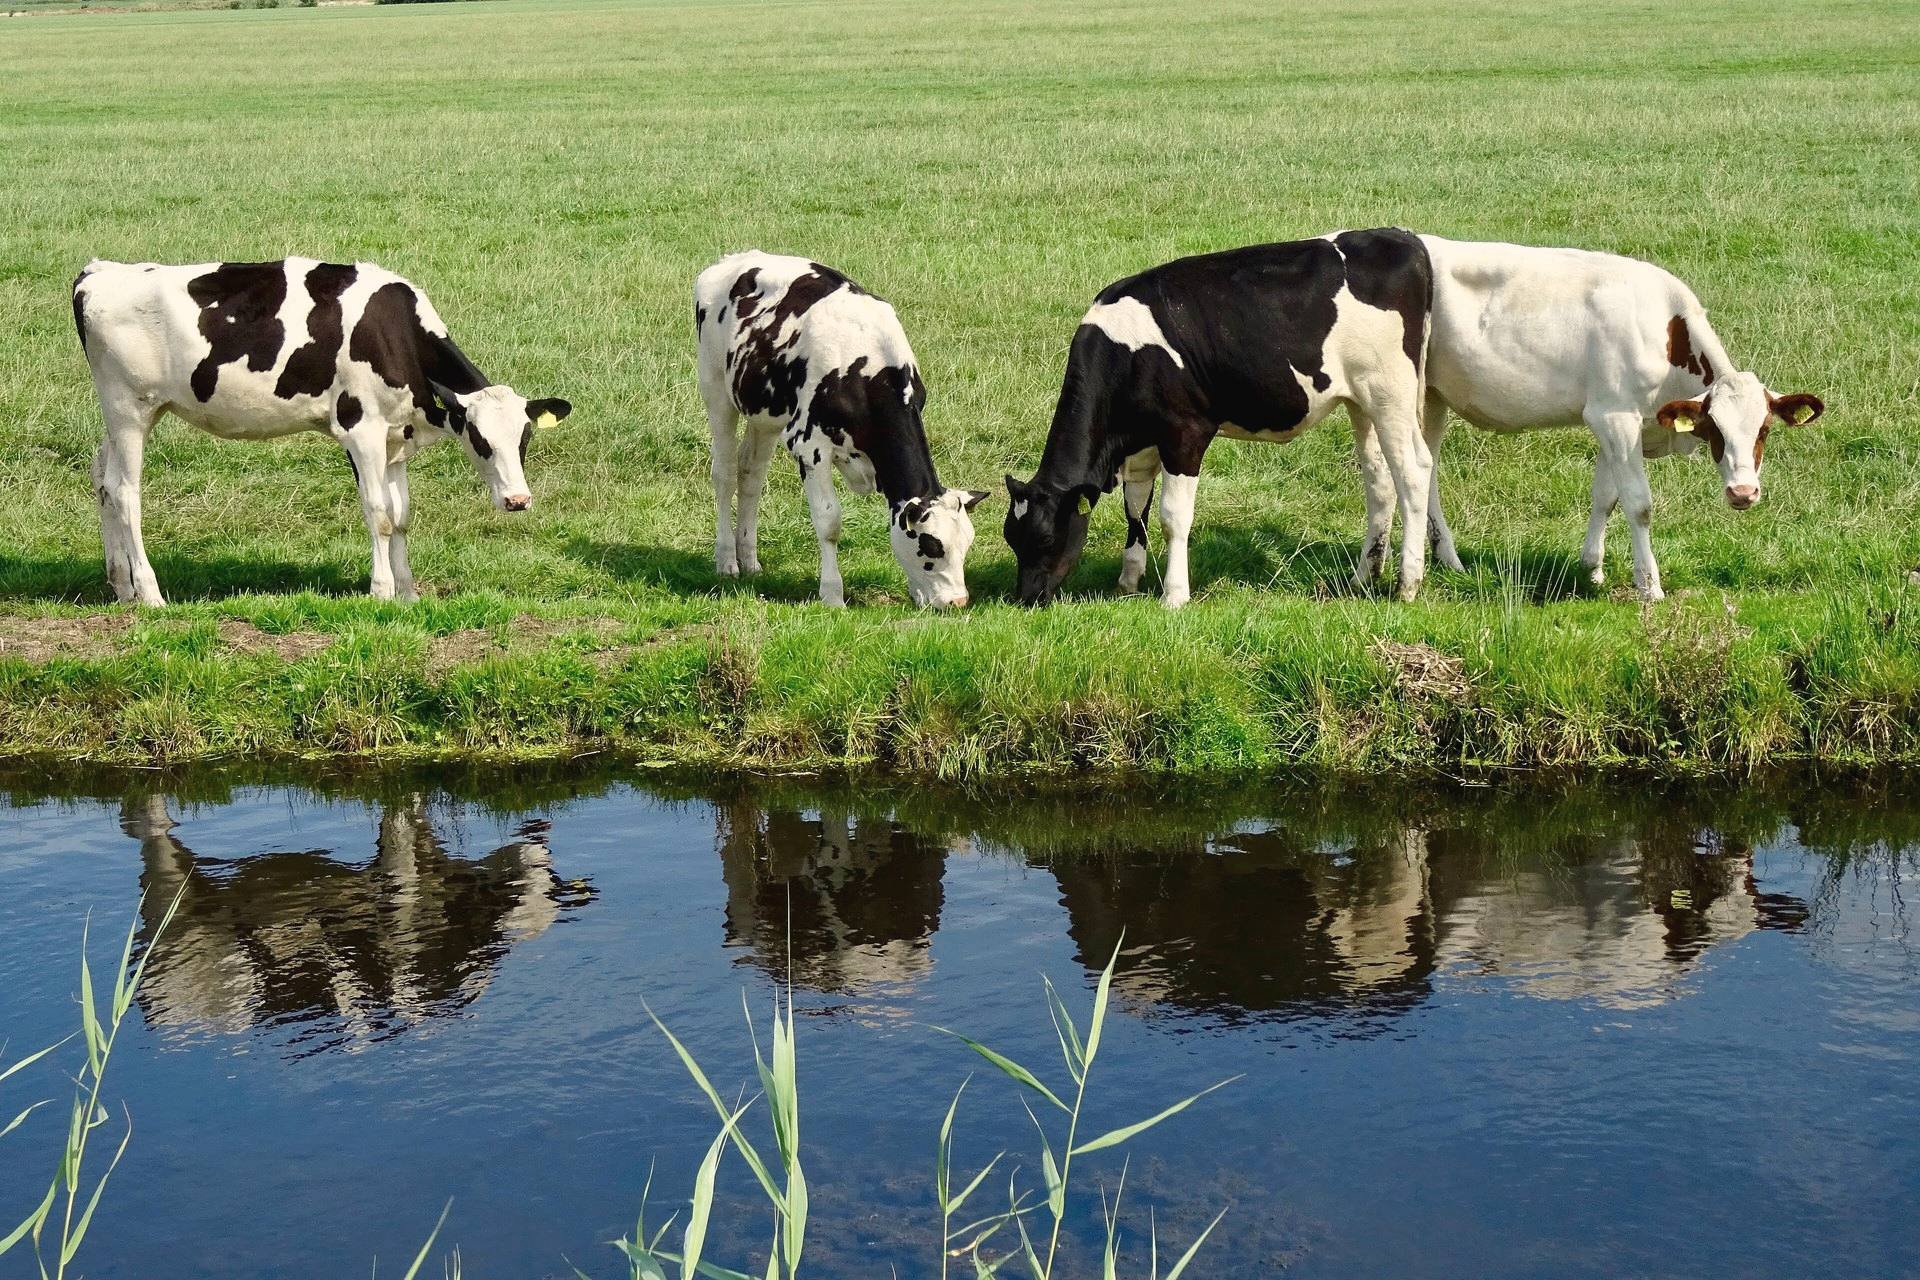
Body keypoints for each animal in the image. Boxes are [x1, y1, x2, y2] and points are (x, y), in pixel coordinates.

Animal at [71, 258, 572, 605]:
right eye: (480, 440)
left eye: (524, 438)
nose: (518, 500)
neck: (392, 333)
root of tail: (100, 272)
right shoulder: (360, 429)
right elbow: (379, 513)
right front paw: (381, 591)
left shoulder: (395, 440)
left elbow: (402, 516)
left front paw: (409, 595)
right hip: (129, 409)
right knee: (125, 491)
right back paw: (151, 594)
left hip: (128, 415)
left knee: (102, 478)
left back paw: (121, 586)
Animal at [695, 251, 987, 609]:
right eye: (932, 547)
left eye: (966, 545)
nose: (957, 601)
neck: (868, 372)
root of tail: (733, 259)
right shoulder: (809, 445)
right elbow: (829, 521)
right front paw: (832, 594)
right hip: (716, 391)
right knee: (724, 474)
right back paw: (726, 561)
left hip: (765, 413)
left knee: (750, 473)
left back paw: (749, 560)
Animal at [1002, 228, 1437, 607]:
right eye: (1011, 538)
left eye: (1044, 539)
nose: (1027, 598)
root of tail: (1400, 236)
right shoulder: (1143, 444)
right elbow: (1136, 509)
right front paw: (1129, 580)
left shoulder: (1185, 433)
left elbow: (1172, 518)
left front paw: (1175, 595)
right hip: (1362, 401)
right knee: (1380, 479)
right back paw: (1362, 578)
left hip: (1390, 392)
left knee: (1414, 470)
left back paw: (1408, 584)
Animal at [1400, 236, 1827, 601]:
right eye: (1714, 428)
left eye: (1764, 430)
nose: (1742, 492)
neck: (1663, 330)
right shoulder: (1615, 417)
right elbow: (1638, 503)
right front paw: (1650, 587)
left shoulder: (1615, 421)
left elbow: (1605, 496)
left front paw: (1592, 569)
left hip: (1434, 397)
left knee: (1429, 467)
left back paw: (1447, 558)